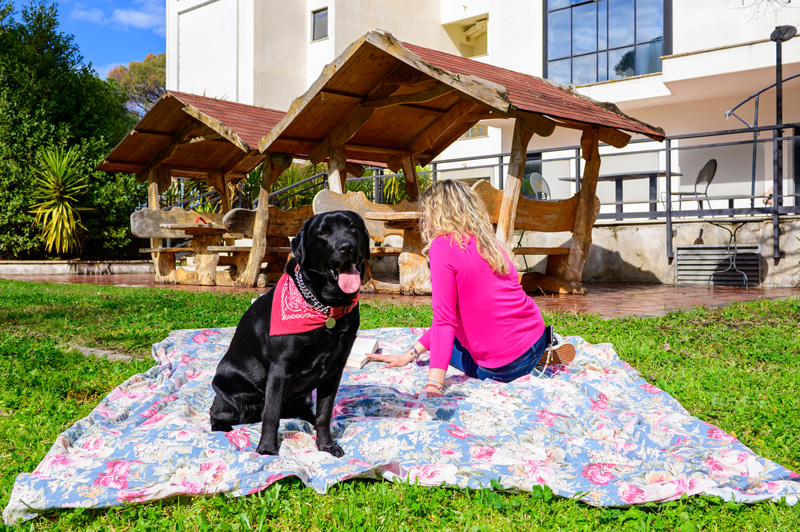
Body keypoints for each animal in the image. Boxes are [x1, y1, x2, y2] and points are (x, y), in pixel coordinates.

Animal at [206, 210, 368, 456]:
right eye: (323, 233)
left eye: (352, 227)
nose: (347, 247)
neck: (325, 305)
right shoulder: (279, 370)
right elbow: (271, 415)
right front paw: (266, 450)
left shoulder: (334, 370)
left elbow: (324, 414)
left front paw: (326, 445)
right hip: (228, 389)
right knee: (217, 411)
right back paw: (222, 426)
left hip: (301, 398)